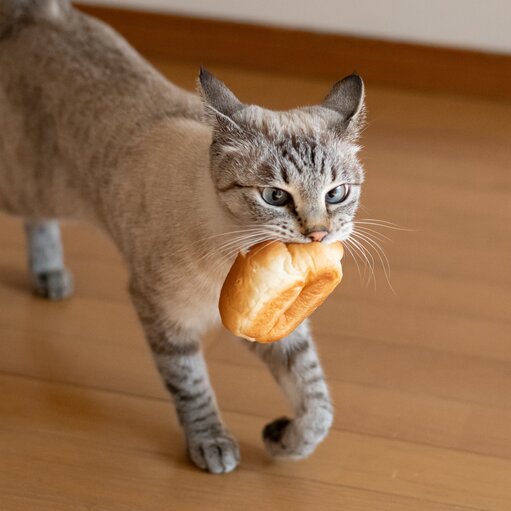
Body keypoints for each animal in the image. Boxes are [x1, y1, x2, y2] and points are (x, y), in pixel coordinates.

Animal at [1, 0, 368, 476]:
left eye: (336, 193)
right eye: (275, 196)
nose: (318, 233)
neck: (233, 251)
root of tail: (35, 14)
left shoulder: (269, 320)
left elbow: (316, 403)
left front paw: (283, 440)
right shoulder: (165, 315)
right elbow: (191, 386)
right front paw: (212, 445)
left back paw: (50, 276)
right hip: (24, 186)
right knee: (33, 214)